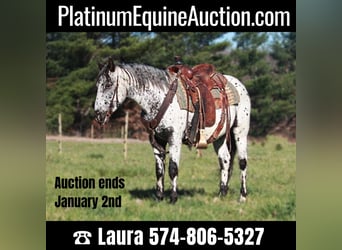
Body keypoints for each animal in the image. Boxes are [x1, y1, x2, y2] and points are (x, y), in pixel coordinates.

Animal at [94, 57, 251, 203]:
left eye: (108, 84)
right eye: (97, 85)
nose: (98, 114)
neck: (161, 98)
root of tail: (237, 84)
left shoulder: (174, 138)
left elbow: (173, 169)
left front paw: (173, 198)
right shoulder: (157, 140)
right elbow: (159, 170)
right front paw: (159, 197)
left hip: (240, 132)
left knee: (242, 162)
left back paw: (242, 196)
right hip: (220, 136)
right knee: (225, 160)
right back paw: (221, 194)